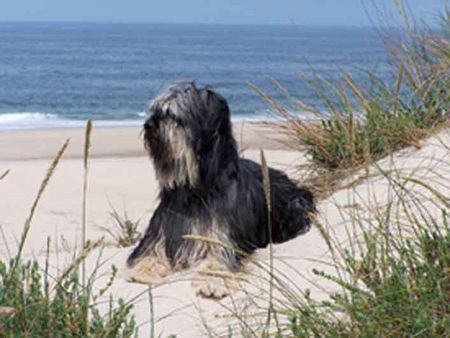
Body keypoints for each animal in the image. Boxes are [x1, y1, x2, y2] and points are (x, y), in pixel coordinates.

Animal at [127, 83, 316, 298]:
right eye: (155, 111)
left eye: (172, 114)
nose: (148, 125)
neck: (195, 189)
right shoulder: (160, 233)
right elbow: (148, 254)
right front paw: (142, 270)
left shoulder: (223, 237)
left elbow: (218, 260)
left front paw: (213, 282)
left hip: (294, 207)